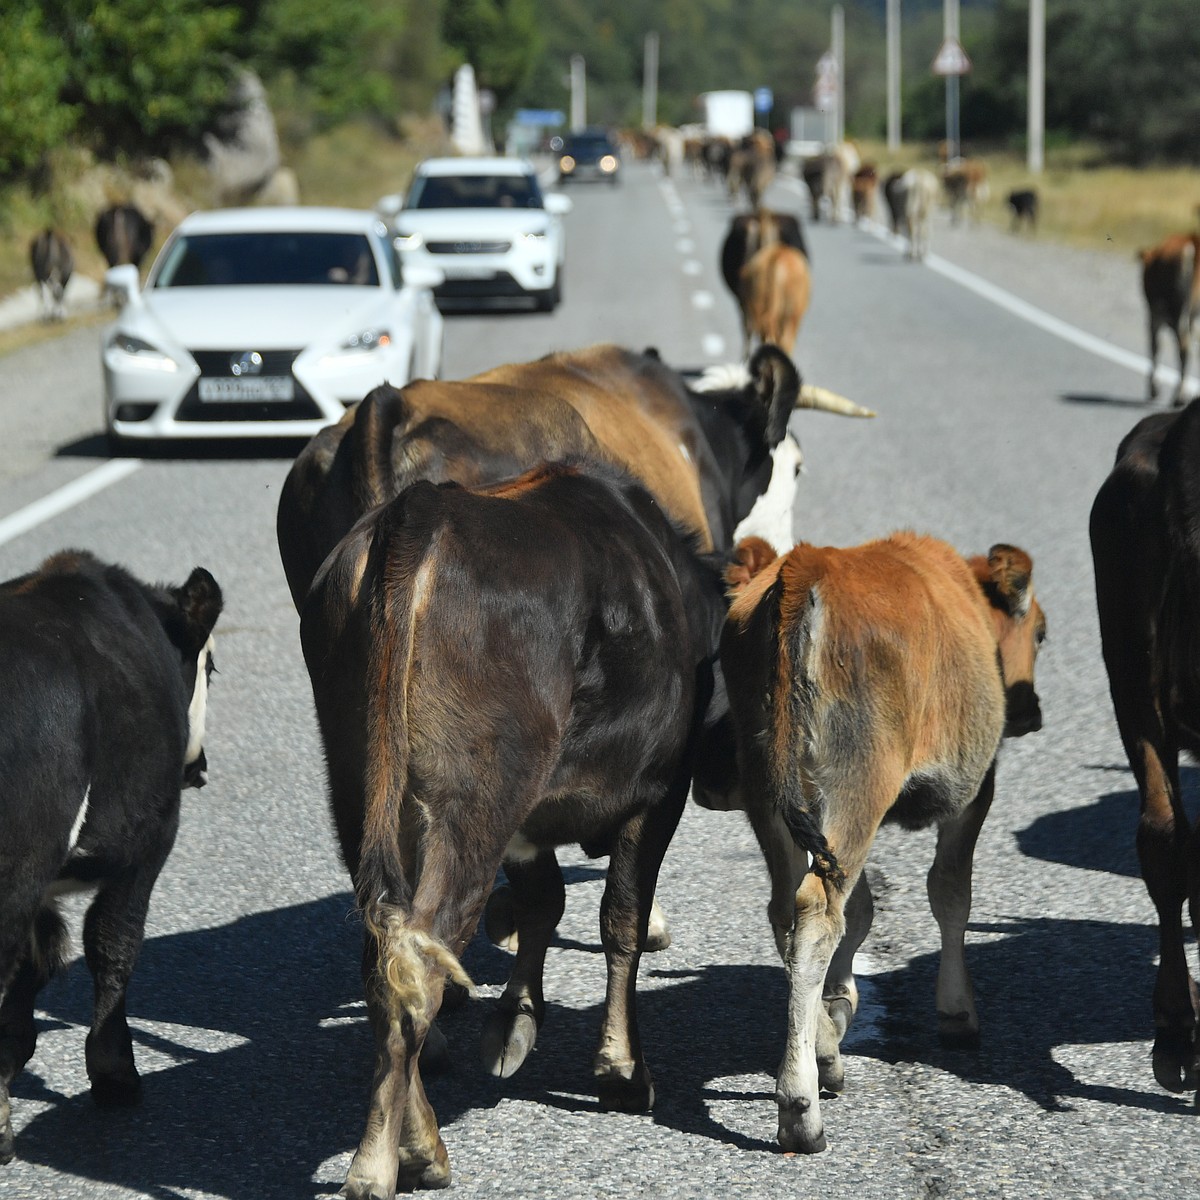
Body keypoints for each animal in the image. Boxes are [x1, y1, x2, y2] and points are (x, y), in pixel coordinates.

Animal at [0, 549, 223, 1161]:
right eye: (212, 669)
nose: (200, 766)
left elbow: (41, 957)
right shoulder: (148, 840)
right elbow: (113, 942)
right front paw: (116, 1075)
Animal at [302, 456, 729, 1190]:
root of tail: (424, 509)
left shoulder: (530, 824)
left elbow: (542, 903)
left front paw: (515, 1022)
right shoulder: (657, 791)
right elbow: (621, 918)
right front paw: (621, 1071)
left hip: (363, 788)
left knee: (389, 956)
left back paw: (412, 1140)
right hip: (476, 803)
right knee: (419, 964)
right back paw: (392, 1158)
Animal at [700, 535, 1046, 1152]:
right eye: (1041, 633)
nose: (1031, 711)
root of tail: (808, 564)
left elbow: (862, 910)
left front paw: (838, 1009)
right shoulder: (973, 792)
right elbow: (950, 894)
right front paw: (958, 1013)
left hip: (772, 797)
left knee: (789, 908)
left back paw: (825, 1056)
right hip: (856, 789)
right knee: (818, 913)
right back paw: (802, 1110)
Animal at [1132, 231, 1200, 410]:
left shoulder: (1154, 314)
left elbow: (1155, 346)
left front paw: (1154, 390)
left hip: (1177, 313)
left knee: (1184, 348)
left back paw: (1179, 397)